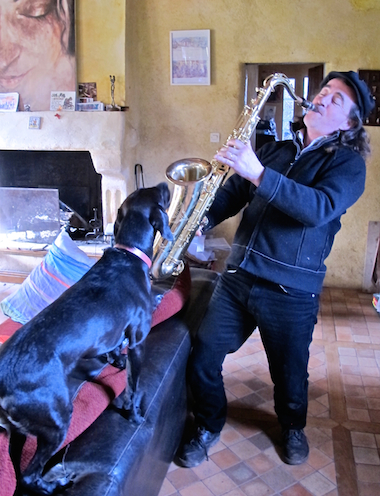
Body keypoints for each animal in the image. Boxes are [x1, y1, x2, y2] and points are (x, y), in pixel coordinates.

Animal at [0, 183, 172, 496]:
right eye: (157, 193)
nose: (166, 184)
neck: (128, 254)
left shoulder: (115, 333)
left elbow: (114, 351)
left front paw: (115, 362)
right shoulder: (138, 341)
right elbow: (134, 387)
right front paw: (135, 417)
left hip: (19, 431)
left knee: (20, 473)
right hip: (56, 421)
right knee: (30, 474)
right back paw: (56, 484)